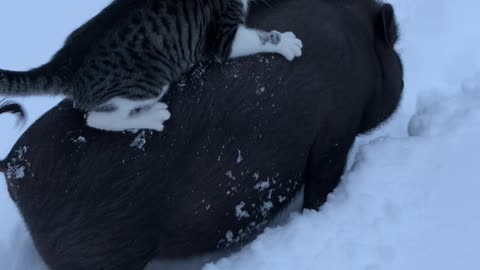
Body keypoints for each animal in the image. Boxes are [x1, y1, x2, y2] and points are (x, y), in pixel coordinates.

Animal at [0, 0, 302, 131]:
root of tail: (65, 62)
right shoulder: (220, 39)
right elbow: (261, 37)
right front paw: (286, 42)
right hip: (149, 83)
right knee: (96, 119)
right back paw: (152, 116)